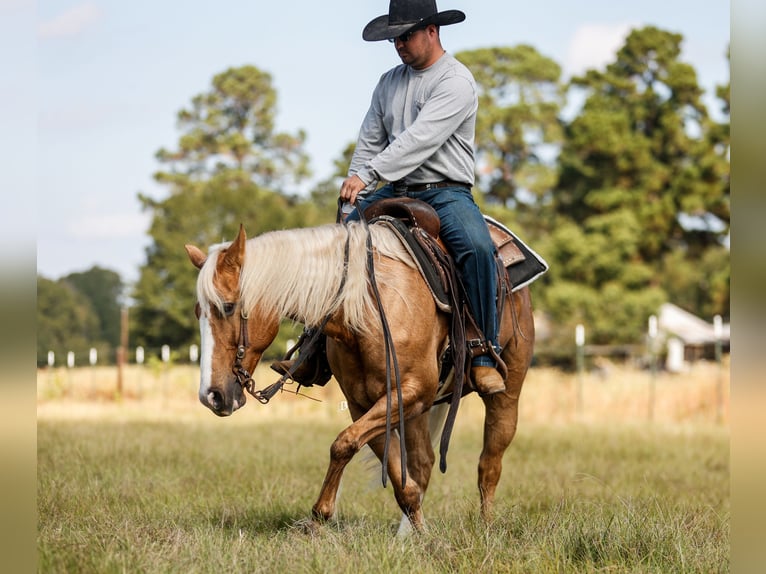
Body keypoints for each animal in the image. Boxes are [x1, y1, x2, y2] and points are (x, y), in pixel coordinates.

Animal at [184, 218, 535, 532]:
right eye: (199, 311)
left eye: (228, 306)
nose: (211, 395)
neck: (363, 309)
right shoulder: (367, 402)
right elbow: (395, 473)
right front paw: (419, 536)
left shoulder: (412, 392)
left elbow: (344, 443)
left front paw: (319, 516)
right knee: (422, 463)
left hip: (507, 393)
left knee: (489, 463)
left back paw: (486, 526)